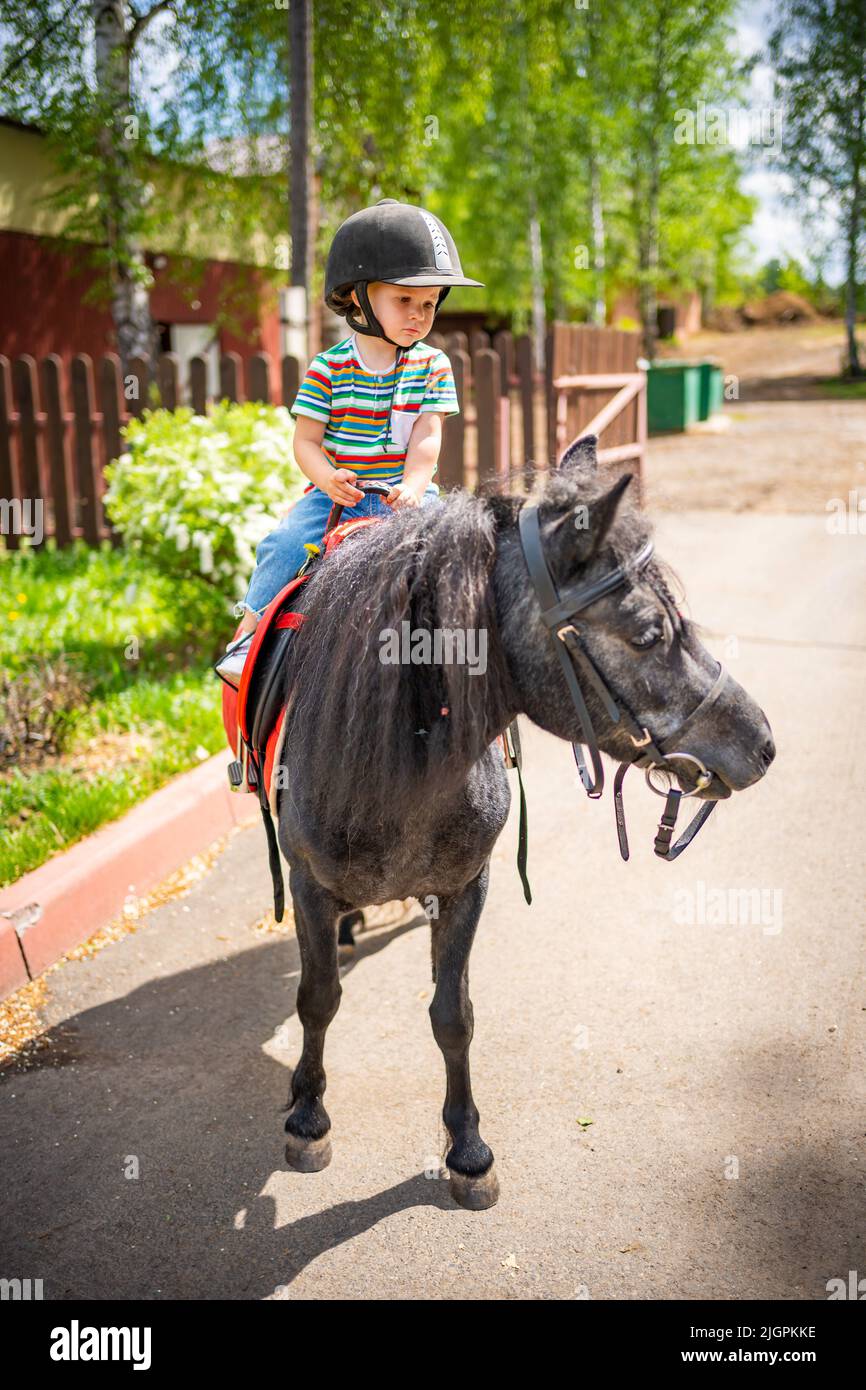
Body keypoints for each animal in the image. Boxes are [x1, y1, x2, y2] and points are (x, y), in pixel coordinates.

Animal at [272, 439, 772, 1212]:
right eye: (648, 634)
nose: (763, 742)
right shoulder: (307, 887)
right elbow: (318, 998)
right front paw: (307, 1115)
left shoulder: (467, 886)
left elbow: (453, 1015)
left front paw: (467, 1148)